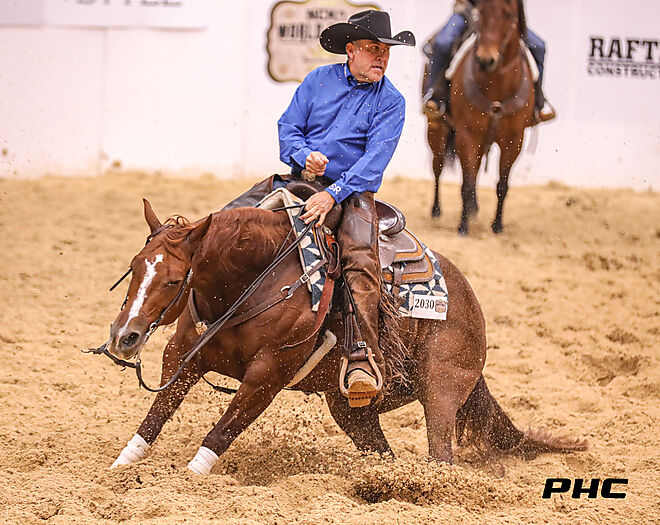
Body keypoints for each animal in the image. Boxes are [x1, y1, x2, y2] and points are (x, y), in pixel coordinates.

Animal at [96, 198, 585, 473]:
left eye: (173, 280)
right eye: (135, 267)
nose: (124, 336)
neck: (257, 279)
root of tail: (468, 299)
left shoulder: (267, 376)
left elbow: (222, 431)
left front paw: (190, 478)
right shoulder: (185, 356)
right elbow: (155, 416)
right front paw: (119, 467)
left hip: (442, 390)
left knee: (441, 455)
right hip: (354, 409)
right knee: (382, 451)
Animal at [424, 0, 535, 234]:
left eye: (508, 15)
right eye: (481, 13)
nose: (485, 60)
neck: (497, 84)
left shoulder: (514, 140)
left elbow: (502, 185)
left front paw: (497, 225)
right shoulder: (467, 134)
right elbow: (466, 183)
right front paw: (463, 227)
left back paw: (474, 208)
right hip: (436, 127)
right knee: (438, 166)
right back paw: (437, 211)